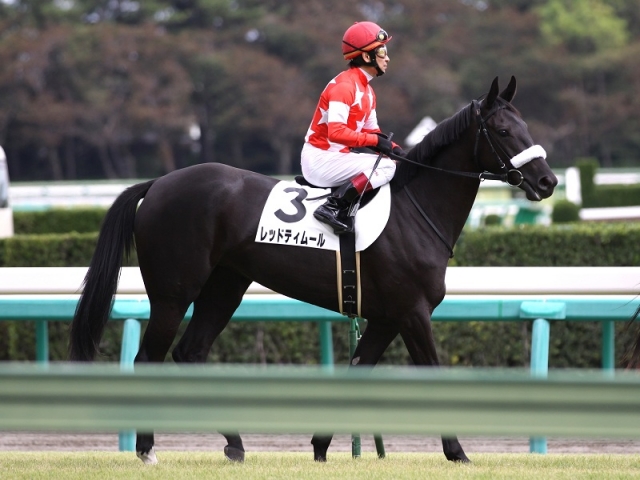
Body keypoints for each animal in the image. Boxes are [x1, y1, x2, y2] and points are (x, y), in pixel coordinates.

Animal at [69, 76, 558, 464]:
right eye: (502, 130)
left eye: (526, 127)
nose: (547, 181)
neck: (413, 211)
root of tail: (158, 184)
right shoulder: (412, 312)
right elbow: (433, 376)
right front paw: (457, 452)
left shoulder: (385, 318)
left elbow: (357, 374)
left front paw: (321, 447)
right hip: (173, 293)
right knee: (148, 358)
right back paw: (147, 449)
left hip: (226, 286)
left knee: (190, 353)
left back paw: (235, 444)